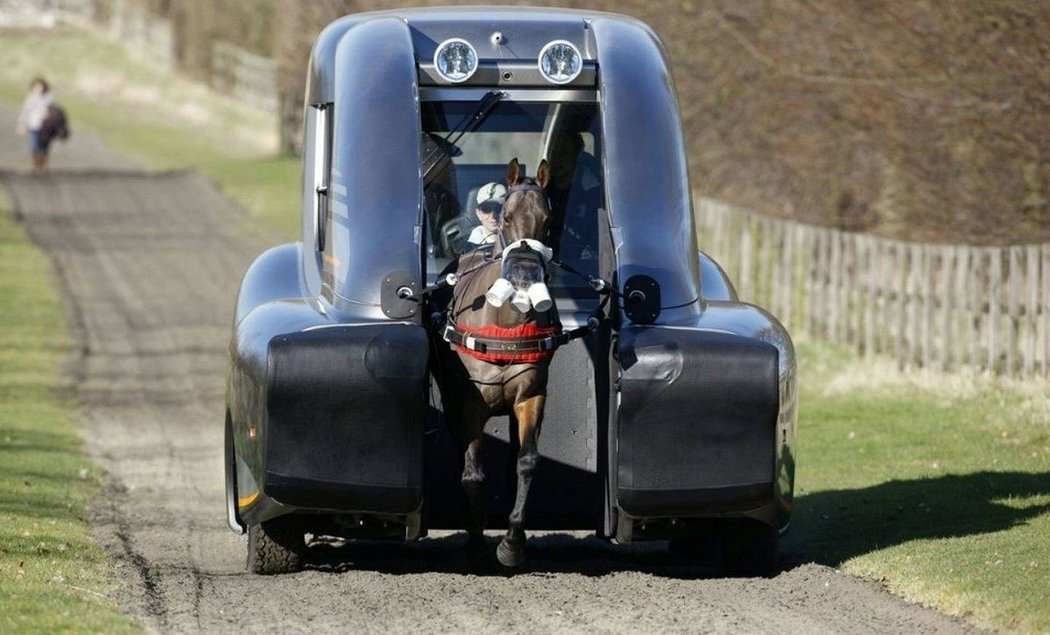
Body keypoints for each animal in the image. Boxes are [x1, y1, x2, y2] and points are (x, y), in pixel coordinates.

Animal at [436, 156, 562, 566]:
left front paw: (512, 541)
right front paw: (476, 537)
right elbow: (473, 471)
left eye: (547, 220)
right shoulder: (471, 400)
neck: (504, 323)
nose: (524, 275)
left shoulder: (530, 395)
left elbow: (526, 462)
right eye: (506, 217)